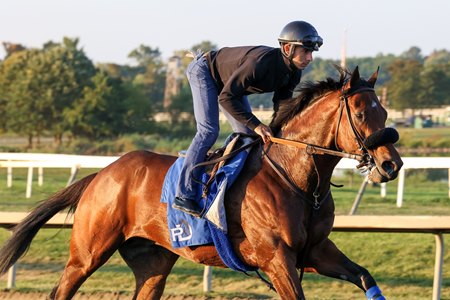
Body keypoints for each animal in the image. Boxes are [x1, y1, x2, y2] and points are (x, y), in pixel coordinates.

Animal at [0, 67, 400, 298]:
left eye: (384, 111)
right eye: (361, 113)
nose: (391, 164)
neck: (298, 182)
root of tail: (102, 174)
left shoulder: (315, 251)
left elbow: (365, 277)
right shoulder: (276, 259)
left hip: (153, 262)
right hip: (87, 253)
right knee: (62, 289)